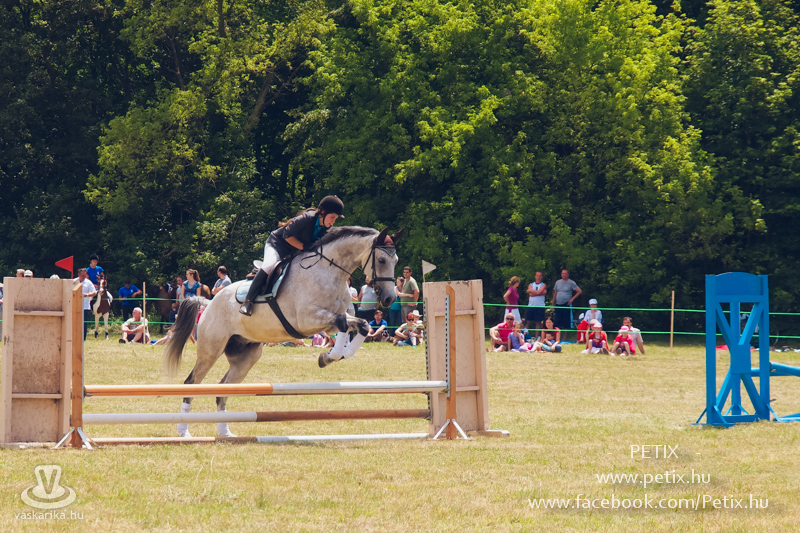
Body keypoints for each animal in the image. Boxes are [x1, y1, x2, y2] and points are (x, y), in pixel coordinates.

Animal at [164, 226, 401, 438]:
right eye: (382, 260)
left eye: (396, 261)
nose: (389, 298)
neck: (327, 271)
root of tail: (208, 303)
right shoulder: (307, 320)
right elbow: (343, 323)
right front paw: (328, 357)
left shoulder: (330, 321)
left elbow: (361, 325)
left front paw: (332, 356)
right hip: (211, 350)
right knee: (192, 383)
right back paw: (184, 432)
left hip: (246, 356)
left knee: (223, 389)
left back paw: (225, 433)